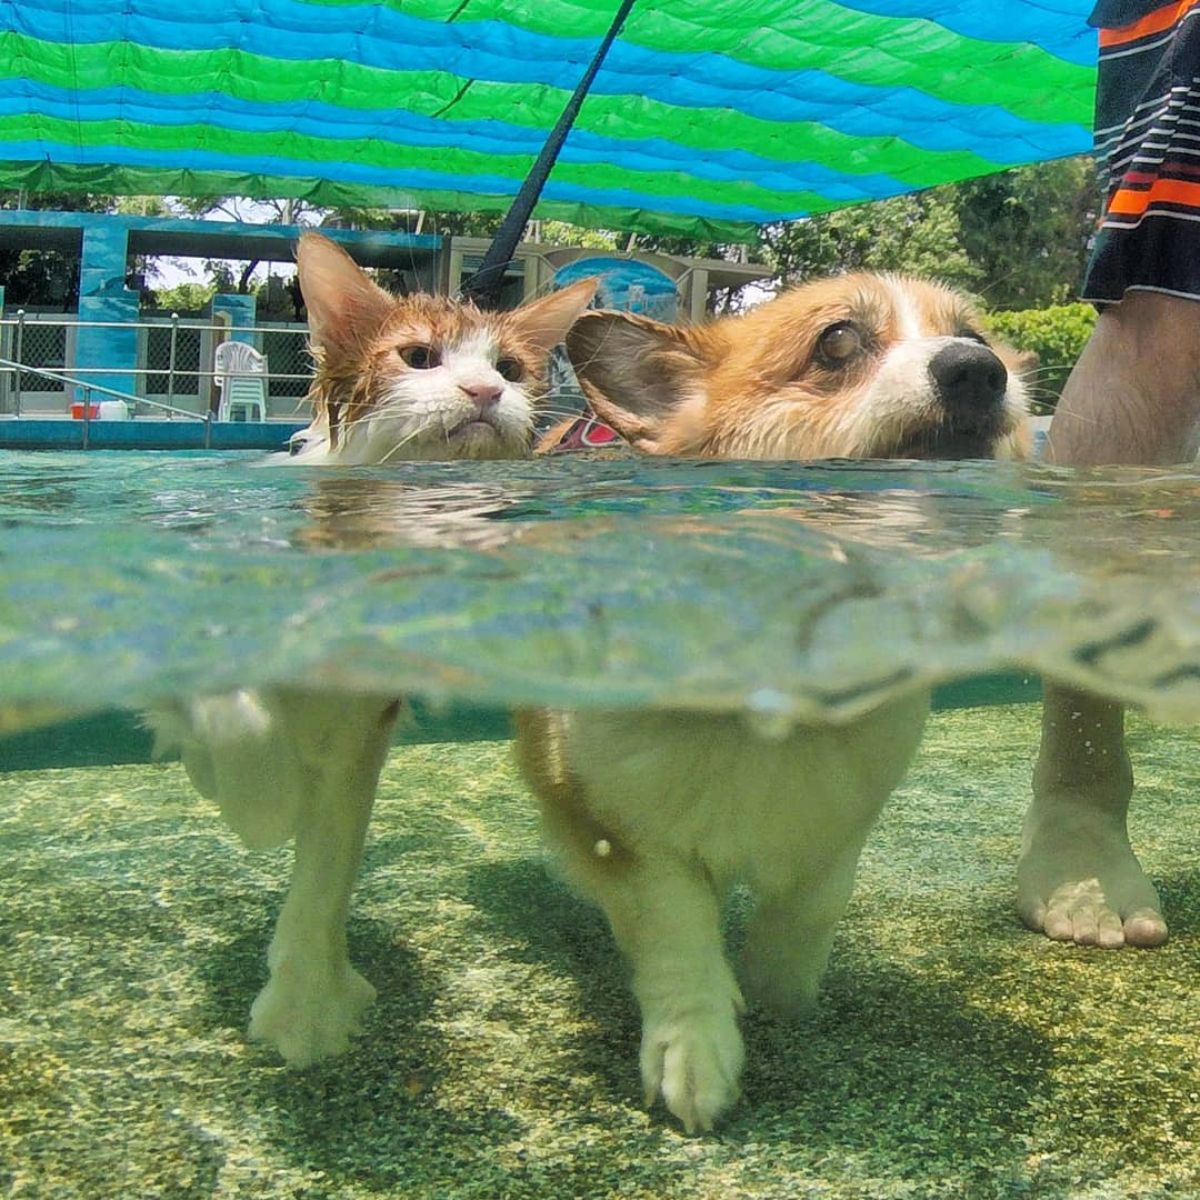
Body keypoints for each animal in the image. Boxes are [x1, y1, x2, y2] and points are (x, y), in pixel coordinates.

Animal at [516, 274, 1032, 1132]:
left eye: (978, 338)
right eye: (837, 341)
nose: (977, 372)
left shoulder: (841, 816)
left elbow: (811, 907)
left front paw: (778, 994)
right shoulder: (617, 824)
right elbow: (676, 925)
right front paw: (695, 1048)